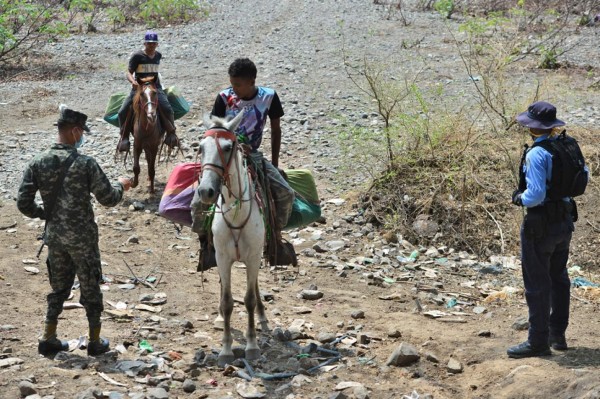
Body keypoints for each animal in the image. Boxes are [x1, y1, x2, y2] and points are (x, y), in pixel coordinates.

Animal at [197, 113, 270, 368]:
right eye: (200, 148)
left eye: (228, 147)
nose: (206, 191)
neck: (236, 215)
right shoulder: (222, 257)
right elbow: (228, 302)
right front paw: (226, 350)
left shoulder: (253, 257)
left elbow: (248, 299)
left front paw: (252, 346)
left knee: (255, 285)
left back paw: (262, 316)